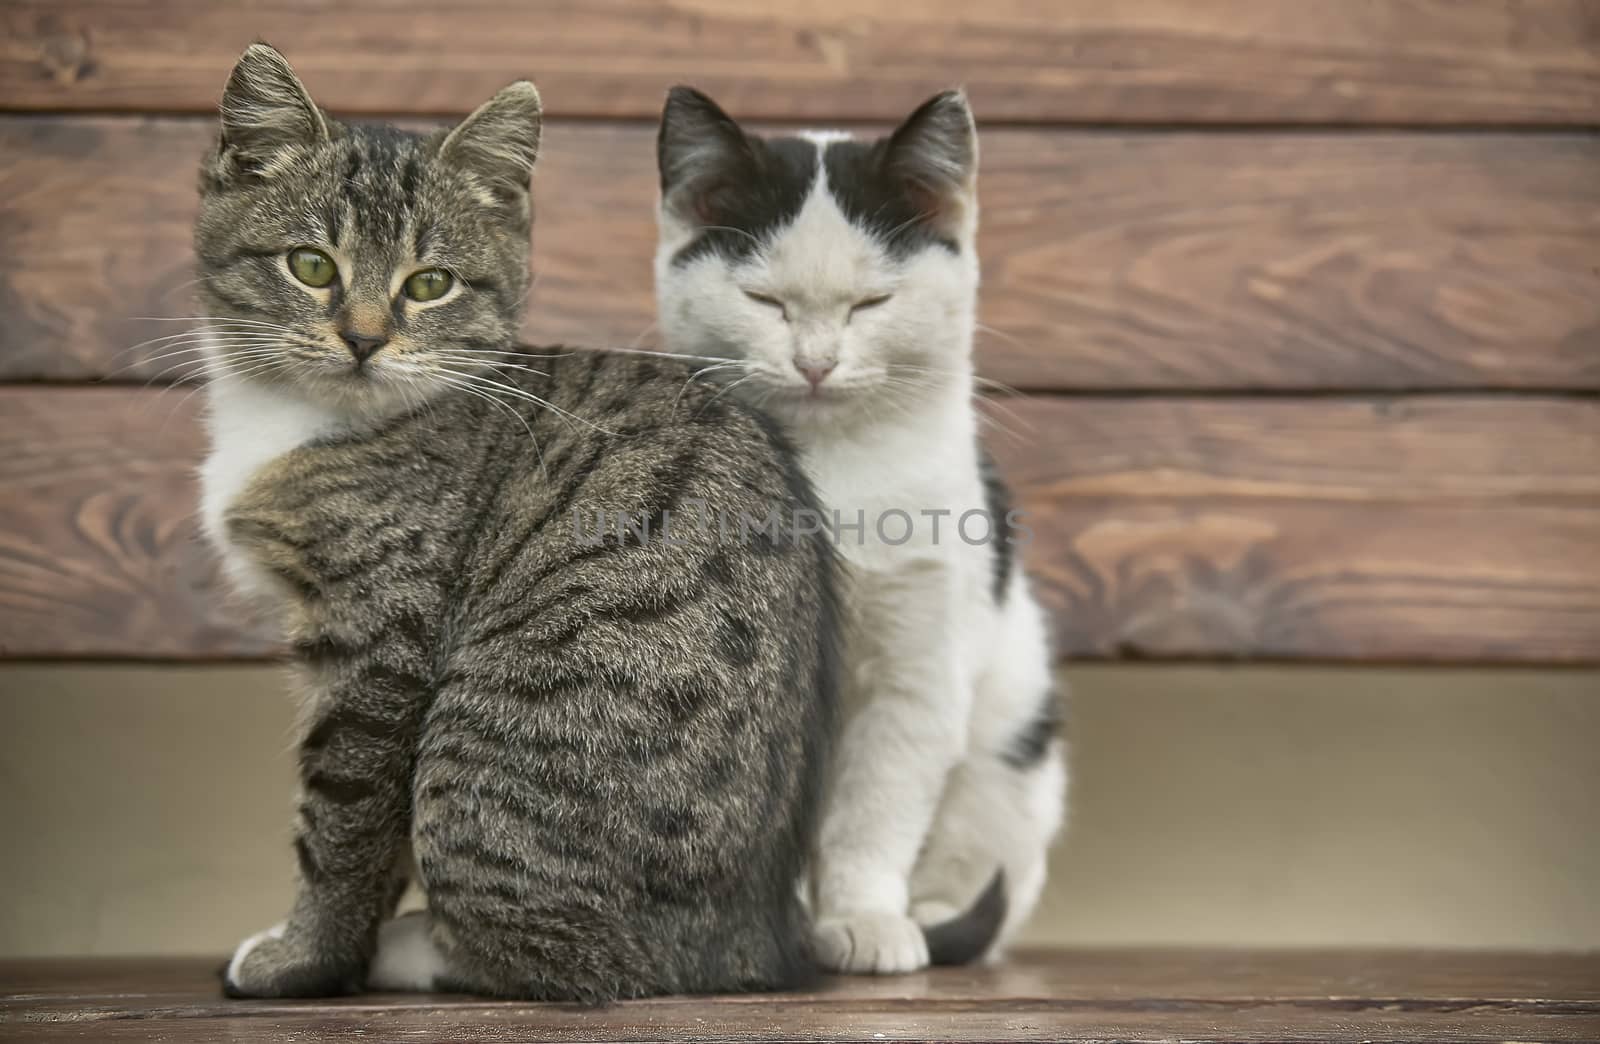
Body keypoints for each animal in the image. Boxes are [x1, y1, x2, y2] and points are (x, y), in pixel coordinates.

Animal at [196, 46, 838, 1005]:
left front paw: (307, 958)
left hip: (485, 751)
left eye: (430, 284)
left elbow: (344, 824)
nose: (363, 338)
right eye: (310, 266)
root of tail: (745, 943)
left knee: (574, 959)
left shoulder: (380, 642)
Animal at [649, 85, 1062, 973]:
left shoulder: (918, 671)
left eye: (874, 303)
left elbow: (877, 812)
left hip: (1014, 749)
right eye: (763, 301)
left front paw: (866, 916)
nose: (815, 362)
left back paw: (927, 914)